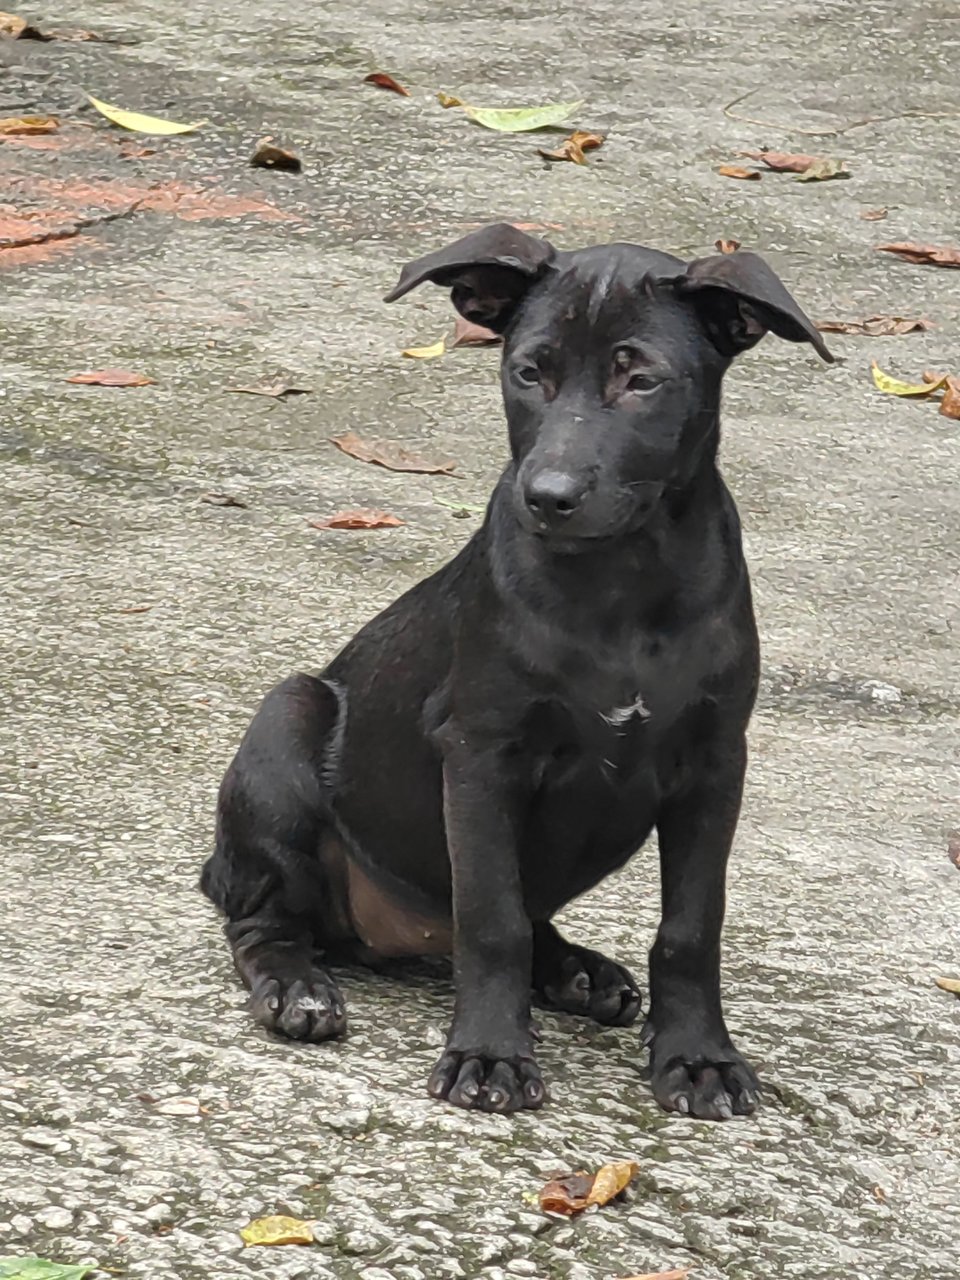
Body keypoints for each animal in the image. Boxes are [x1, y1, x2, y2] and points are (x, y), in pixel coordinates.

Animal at [199, 222, 829, 1121]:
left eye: (640, 379)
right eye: (530, 372)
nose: (550, 495)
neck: (622, 580)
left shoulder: (715, 762)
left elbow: (691, 926)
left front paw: (699, 1057)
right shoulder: (482, 755)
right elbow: (490, 919)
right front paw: (490, 1054)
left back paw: (575, 971)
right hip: (285, 723)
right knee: (268, 923)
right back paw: (297, 987)